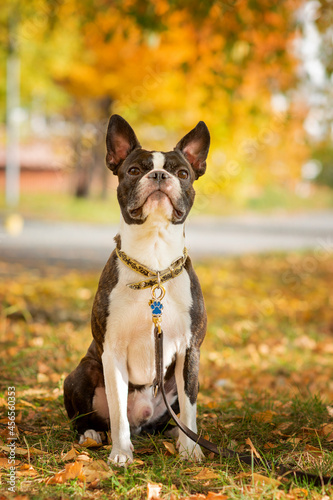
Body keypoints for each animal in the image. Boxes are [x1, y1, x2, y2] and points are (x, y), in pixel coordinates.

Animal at [63, 114, 209, 464]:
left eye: (182, 173)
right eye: (133, 170)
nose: (158, 175)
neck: (153, 267)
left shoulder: (190, 350)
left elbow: (190, 409)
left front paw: (191, 450)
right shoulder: (112, 352)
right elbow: (117, 413)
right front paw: (121, 454)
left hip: (169, 388)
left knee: (173, 416)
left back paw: (174, 434)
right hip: (81, 372)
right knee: (88, 417)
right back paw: (91, 434)